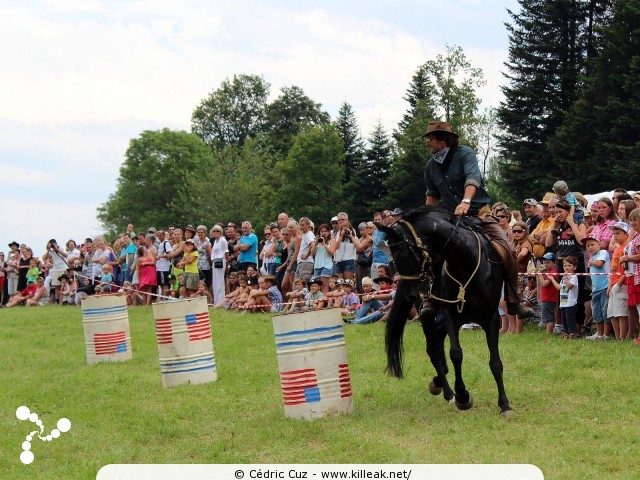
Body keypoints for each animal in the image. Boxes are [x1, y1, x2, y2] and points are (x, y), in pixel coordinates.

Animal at [380, 204, 516, 418]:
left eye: (404, 251)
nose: (411, 294)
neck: (466, 261)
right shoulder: (451, 315)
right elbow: (456, 354)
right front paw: (462, 396)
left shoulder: (491, 318)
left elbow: (495, 362)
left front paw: (504, 404)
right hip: (430, 314)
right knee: (433, 349)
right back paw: (447, 391)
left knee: (437, 340)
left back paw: (440, 380)